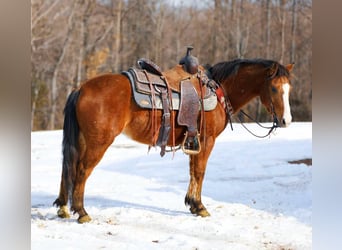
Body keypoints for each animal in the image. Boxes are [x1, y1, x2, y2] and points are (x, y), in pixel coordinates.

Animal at [52, 57, 294, 223]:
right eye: (274, 88)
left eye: (288, 88)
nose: (286, 121)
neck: (219, 89)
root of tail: (80, 88)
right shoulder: (207, 141)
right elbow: (200, 172)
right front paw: (200, 206)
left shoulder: (194, 141)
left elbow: (193, 171)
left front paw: (192, 204)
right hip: (98, 143)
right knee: (81, 170)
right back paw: (81, 212)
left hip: (82, 140)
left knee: (67, 168)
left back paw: (63, 208)